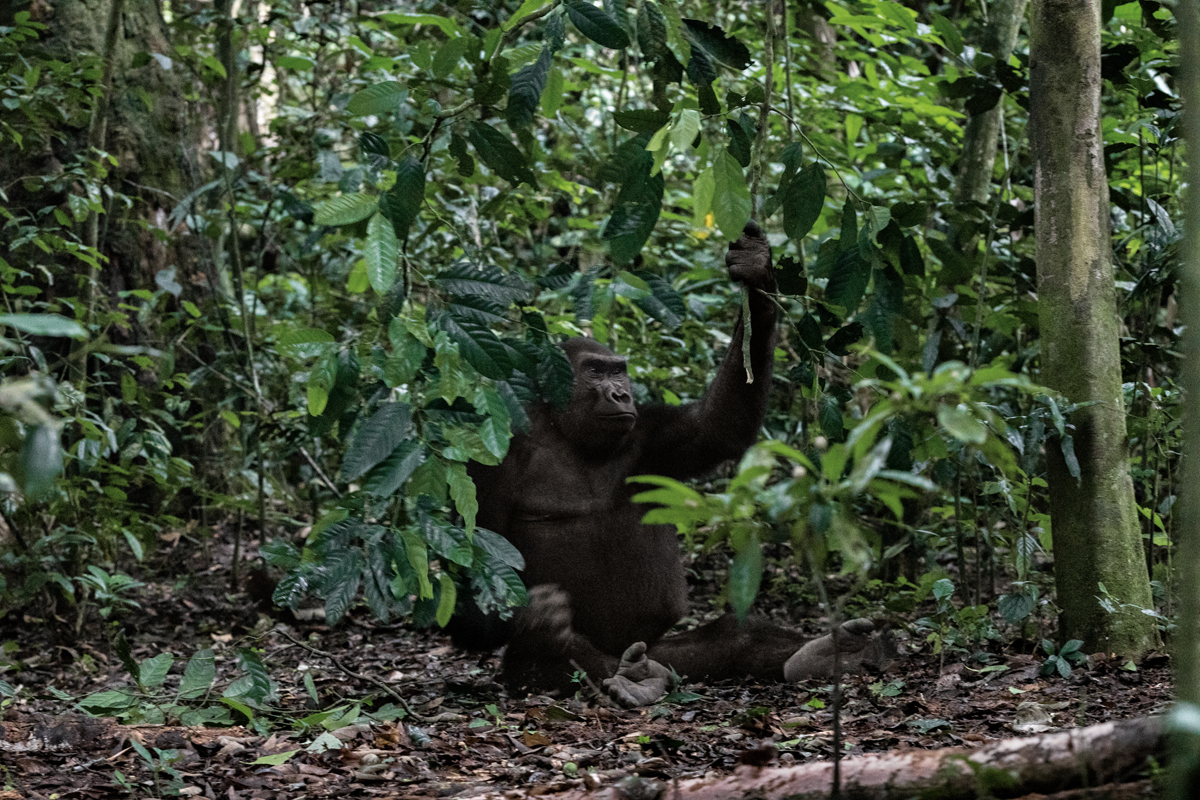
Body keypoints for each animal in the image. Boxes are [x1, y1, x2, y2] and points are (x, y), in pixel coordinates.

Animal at [453, 224, 897, 705]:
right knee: (556, 658)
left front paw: (757, 272)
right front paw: (537, 612)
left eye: (619, 371)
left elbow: (715, 428)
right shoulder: (494, 461)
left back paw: (824, 653)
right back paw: (622, 674)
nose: (620, 394)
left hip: (668, 651)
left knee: (732, 637)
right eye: (595, 372)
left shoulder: (650, 433)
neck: (567, 432)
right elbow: (475, 568)